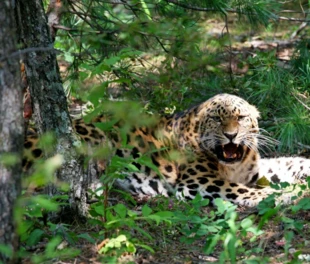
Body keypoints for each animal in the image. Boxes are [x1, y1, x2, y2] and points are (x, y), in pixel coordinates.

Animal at [23, 94, 310, 207]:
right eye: (216, 119)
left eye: (240, 118)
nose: (231, 135)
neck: (233, 165)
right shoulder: (198, 182)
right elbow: (243, 190)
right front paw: (285, 195)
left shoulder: (254, 170)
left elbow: (284, 164)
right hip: (94, 136)